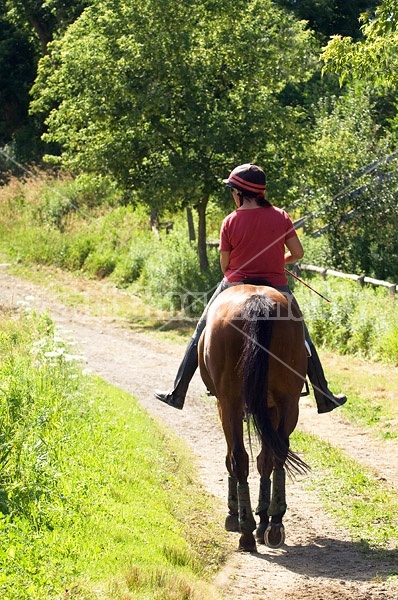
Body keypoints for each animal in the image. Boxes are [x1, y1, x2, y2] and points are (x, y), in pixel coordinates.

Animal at [197, 284, 310, 552]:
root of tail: (257, 301)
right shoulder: (270, 409)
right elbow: (265, 460)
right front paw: (264, 519)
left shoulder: (224, 405)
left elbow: (234, 459)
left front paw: (235, 515)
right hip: (288, 401)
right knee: (277, 454)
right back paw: (274, 524)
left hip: (230, 401)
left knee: (238, 457)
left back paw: (246, 531)